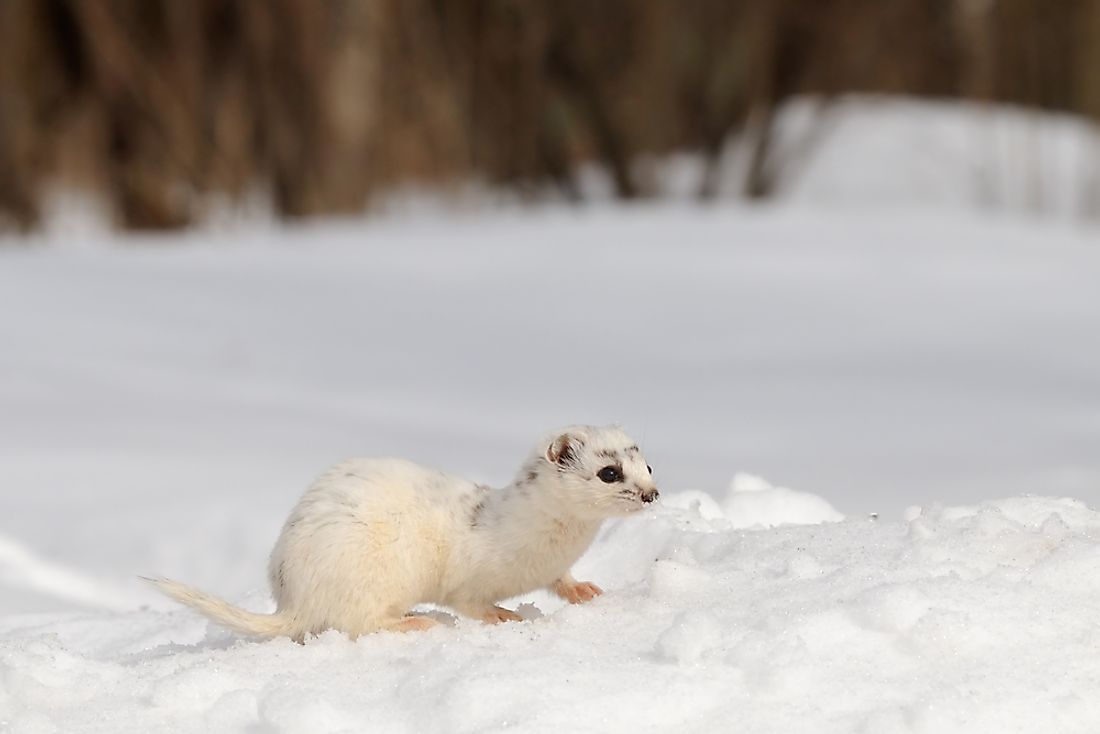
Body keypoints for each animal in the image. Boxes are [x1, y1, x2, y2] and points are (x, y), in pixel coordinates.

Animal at [149, 426, 655, 638]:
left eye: (648, 465)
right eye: (609, 472)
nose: (651, 494)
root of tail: (294, 597)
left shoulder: (552, 566)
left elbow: (561, 581)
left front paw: (585, 589)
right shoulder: (467, 577)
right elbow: (469, 602)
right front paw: (504, 616)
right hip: (371, 576)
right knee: (359, 623)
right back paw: (417, 621)